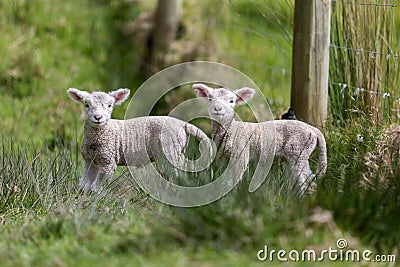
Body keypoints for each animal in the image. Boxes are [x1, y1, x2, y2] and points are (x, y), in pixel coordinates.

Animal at [67, 88, 214, 193]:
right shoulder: (90, 161)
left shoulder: (108, 161)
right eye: (86, 105)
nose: (98, 117)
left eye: (110, 105)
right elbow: (84, 185)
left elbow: (95, 187)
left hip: (170, 149)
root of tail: (183, 124)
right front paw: (82, 198)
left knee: (178, 174)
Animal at [192, 82, 326, 196]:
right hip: (292, 156)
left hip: (298, 151)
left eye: (231, 101)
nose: (218, 109)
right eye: (210, 99)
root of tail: (312, 129)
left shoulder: (240, 153)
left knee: (308, 180)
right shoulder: (222, 157)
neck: (232, 129)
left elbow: (234, 179)